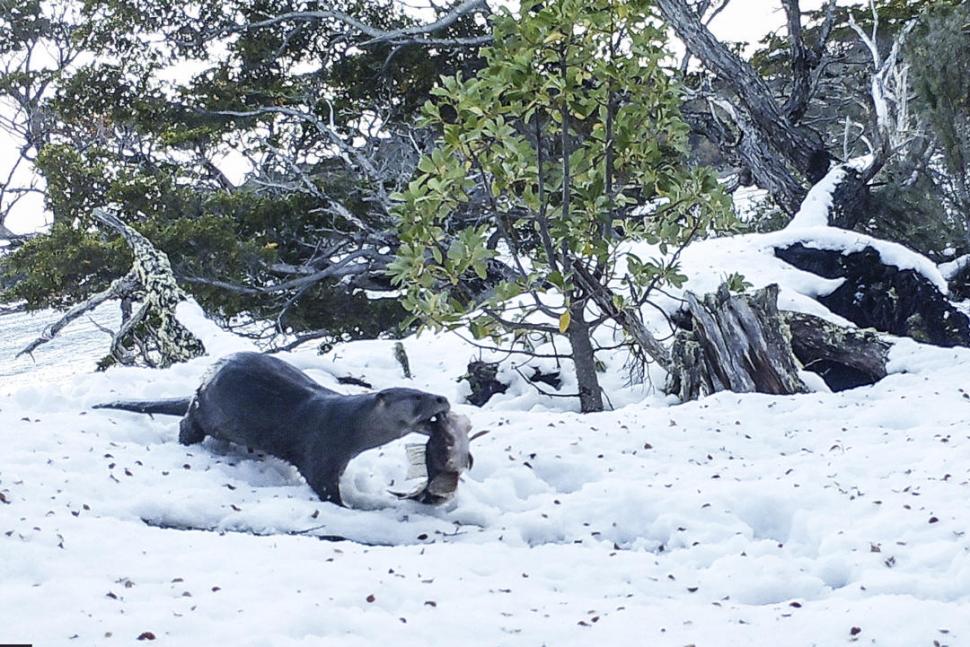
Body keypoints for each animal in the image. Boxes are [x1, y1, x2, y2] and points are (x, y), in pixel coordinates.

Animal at [94, 352, 451, 506]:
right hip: (204, 410)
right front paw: (343, 506)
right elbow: (323, 487)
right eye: (417, 397)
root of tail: (201, 384)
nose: (442, 398)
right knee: (187, 425)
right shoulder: (321, 451)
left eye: (425, 391)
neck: (347, 423)